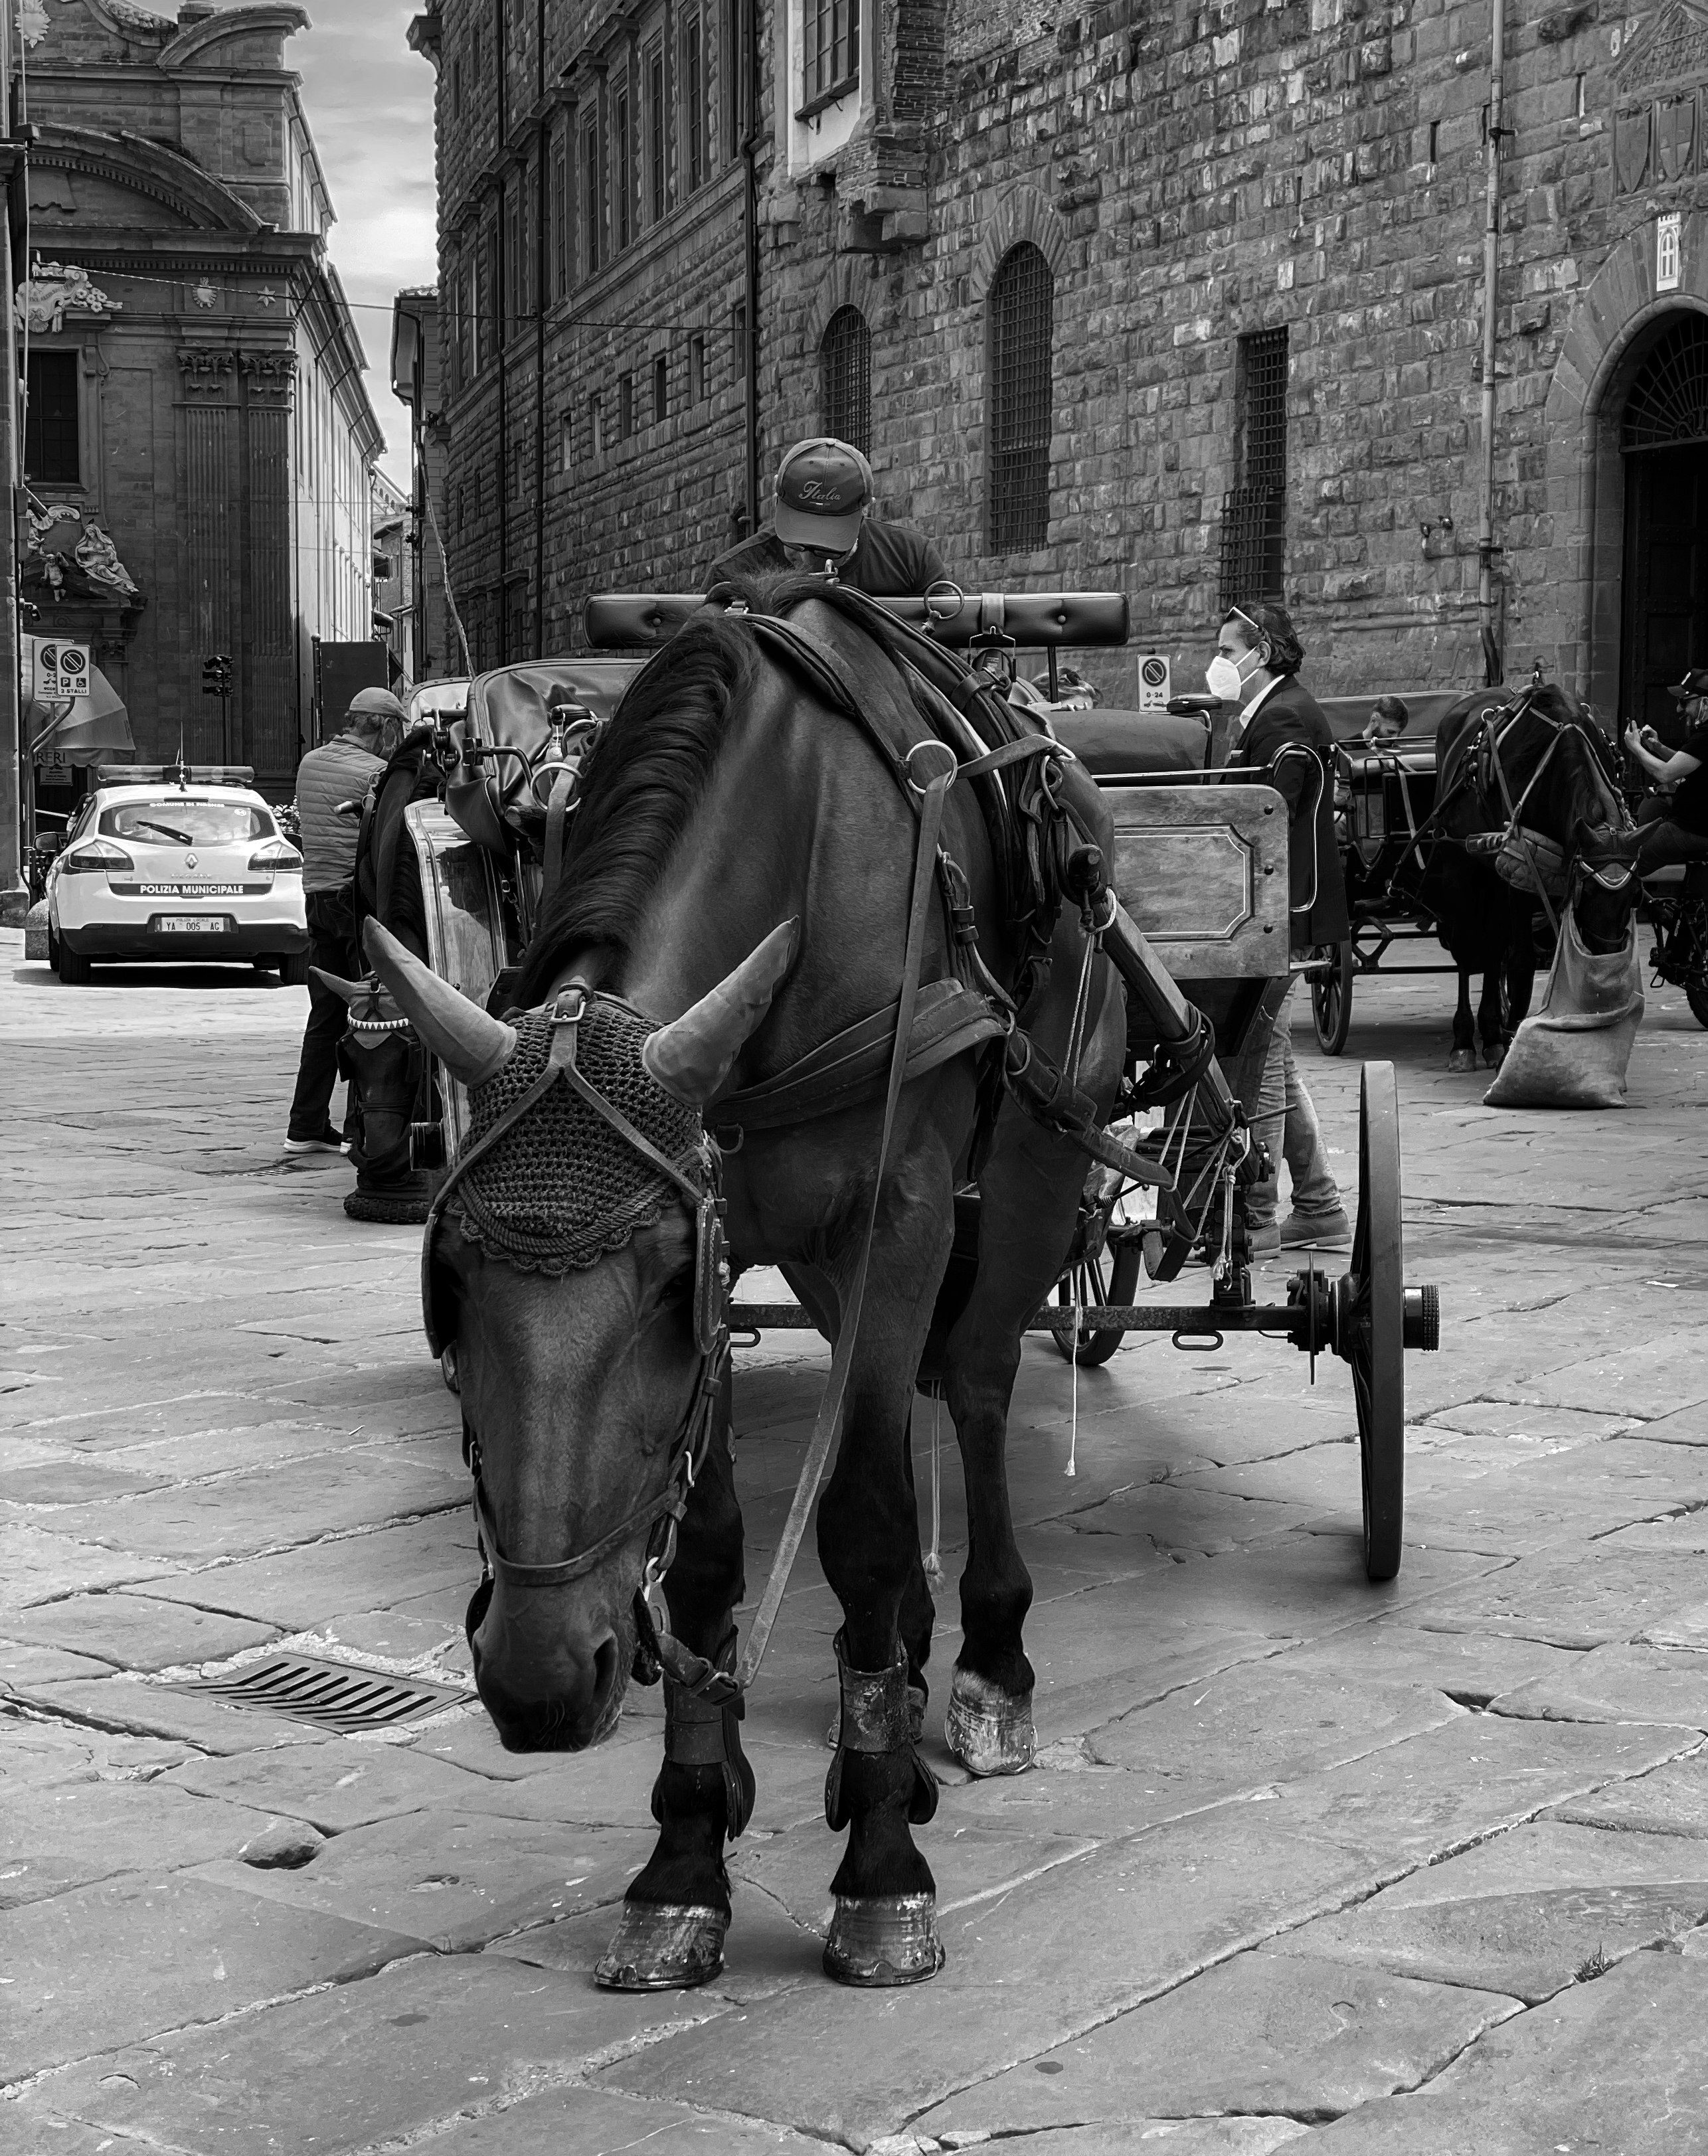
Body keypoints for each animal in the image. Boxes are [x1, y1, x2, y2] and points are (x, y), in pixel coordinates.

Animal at [367, 582, 1130, 1992]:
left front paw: (880, 1867)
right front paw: (682, 1860)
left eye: (664, 1287)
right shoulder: (739, 1215)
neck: (798, 838)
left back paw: (988, 1660)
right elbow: (712, 1554)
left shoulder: (895, 1210)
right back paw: (902, 1656)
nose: (538, 1681)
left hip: (1039, 1153)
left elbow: (867, 1516)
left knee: (978, 1379)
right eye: (447, 1288)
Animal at [1432, 681, 1630, 1069]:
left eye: (1636, 897)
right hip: (1462, 867)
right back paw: (1464, 1041)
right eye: (1587, 893)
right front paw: (1513, 1040)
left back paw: (1492, 1034)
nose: (1607, 968)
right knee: (1467, 950)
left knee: (1492, 948)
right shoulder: (1520, 874)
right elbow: (1521, 964)